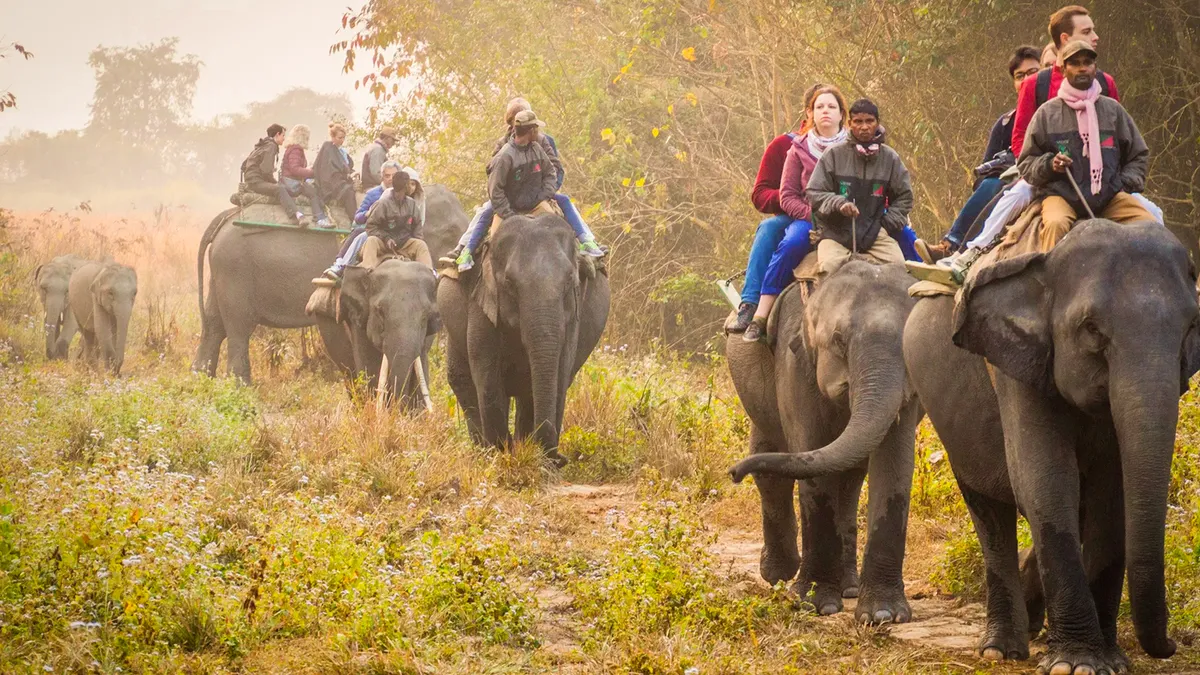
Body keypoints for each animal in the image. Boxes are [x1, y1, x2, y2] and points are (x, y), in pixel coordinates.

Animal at [193, 184, 467, 382]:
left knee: (214, 325)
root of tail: (226, 216)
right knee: (238, 328)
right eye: (451, 233)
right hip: (235, 270)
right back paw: (240, 388)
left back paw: (202, 382)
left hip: (223, 270)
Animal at [437, 212, 610, 465]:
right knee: (461, 379)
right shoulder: (481, 300)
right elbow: (488, 380)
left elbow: (560, 373)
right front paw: (501, 455)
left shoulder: (574, 314)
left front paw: (532, 458)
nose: (561, 459)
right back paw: (484, 451)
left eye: (570, 281)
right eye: (509, 283)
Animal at [726, 260, 922, 625]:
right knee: (770, 466)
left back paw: (849, 587)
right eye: (839, 341)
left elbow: (893, 467)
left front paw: (883, 615)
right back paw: (778, 573)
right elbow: (813, 457)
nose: (732, 473)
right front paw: (817, 606)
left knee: (850, 478)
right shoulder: (794, 360)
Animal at [904, 220, 1200, 673]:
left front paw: (1110, 661)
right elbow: (1046, 480)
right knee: (990, 514)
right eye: (1092, 330)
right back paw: (1001, 648)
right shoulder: (1014, 366)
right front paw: (1075, 664)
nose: (1170, 645)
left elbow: (1111, 494)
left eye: (1190, 328)